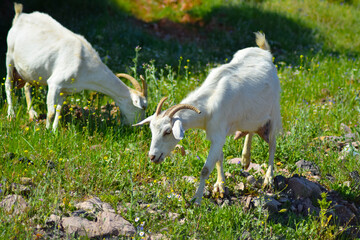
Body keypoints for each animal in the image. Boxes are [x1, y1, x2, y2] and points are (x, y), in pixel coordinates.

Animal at [4, 2, 147, 130]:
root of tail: (20, 16)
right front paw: (46, 132)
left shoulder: (65, 90)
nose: (139, 126)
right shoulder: (54, 84)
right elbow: (51, 113)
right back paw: (11, 114)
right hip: (9, 57)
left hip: (31, 72)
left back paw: (32, 114)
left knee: (27, 86)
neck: (85, 66)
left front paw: (55, 132)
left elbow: (59, 111)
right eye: (144, 106)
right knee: (8, 84)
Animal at [134, 31, 282, 203]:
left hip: (273, 113)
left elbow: (205, 169)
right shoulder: (215, 135)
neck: (209, 103)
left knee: (273, 144)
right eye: (151, 130)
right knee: (251, 130)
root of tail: (264, 51)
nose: (152, 156)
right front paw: (220, 186)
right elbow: (219, 158)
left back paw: (268, 179)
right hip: (252, 115)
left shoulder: (218, 134)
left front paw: (196, 199)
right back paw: (245, 159)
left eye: (168, 131)